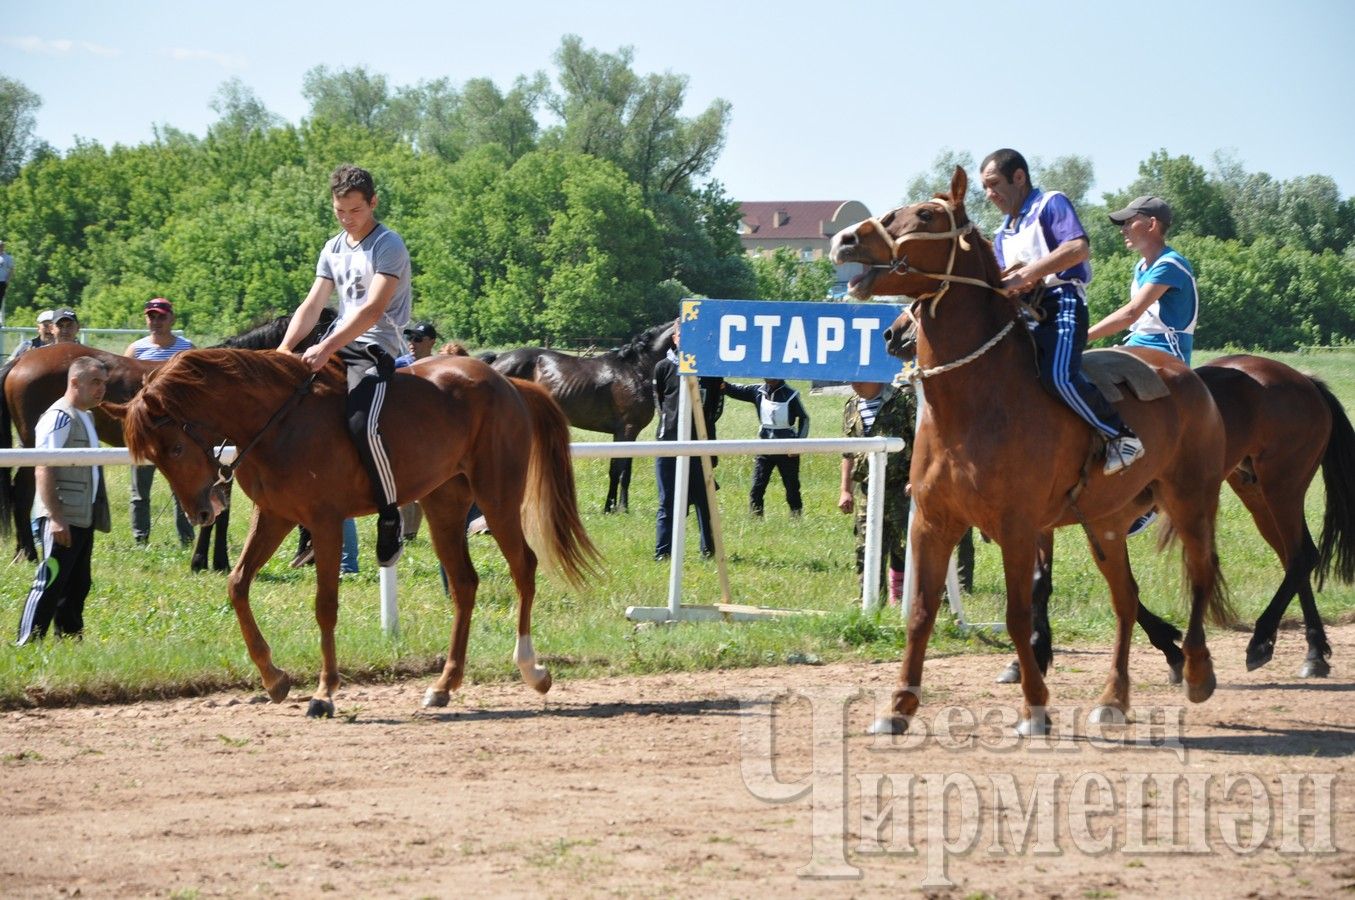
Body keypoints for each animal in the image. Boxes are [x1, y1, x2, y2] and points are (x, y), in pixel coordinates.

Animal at [0, 311, 336, 569]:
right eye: (324, 330)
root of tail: (20, 362)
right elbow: (218, 512)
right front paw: (209, 561)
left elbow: (219, 509)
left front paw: (211, 559)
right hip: (37, 446)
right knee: (22, 492)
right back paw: (28, 552)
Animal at [113, 345, 601, 715]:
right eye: (153, 457)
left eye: (176, 448)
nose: (201, 513)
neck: (278, 421)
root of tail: (508, 383)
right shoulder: (274, 517)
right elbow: (237, 584)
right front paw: (274, 678)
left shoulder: (325, 523)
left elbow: (325, 605)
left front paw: (325, 692)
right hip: (444, 504)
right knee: (465, 584)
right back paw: (443, 685)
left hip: (497, 498)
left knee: (524, 567)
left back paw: (532, 669)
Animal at [490, 321, 674, 512]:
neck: (636, 369)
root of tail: (497, 359)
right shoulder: (627, 430)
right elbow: (620, 470)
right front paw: (617, 507)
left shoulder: (626, 434)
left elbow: (621, 471)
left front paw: (615, 507)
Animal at [829, 165, 1235, 737]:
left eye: (927, 215)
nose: (845, 239)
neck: (977, 402)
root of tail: (1189, 379)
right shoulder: (932, 522)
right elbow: (921, 613)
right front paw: (898, 707)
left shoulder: (1018, 528)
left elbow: (1020, 614)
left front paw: (1034, 705)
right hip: (1105, 524)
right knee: (1126, 600)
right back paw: (1114, 698)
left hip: (1191, 502)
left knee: (1199, 577)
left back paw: (1197, 671)